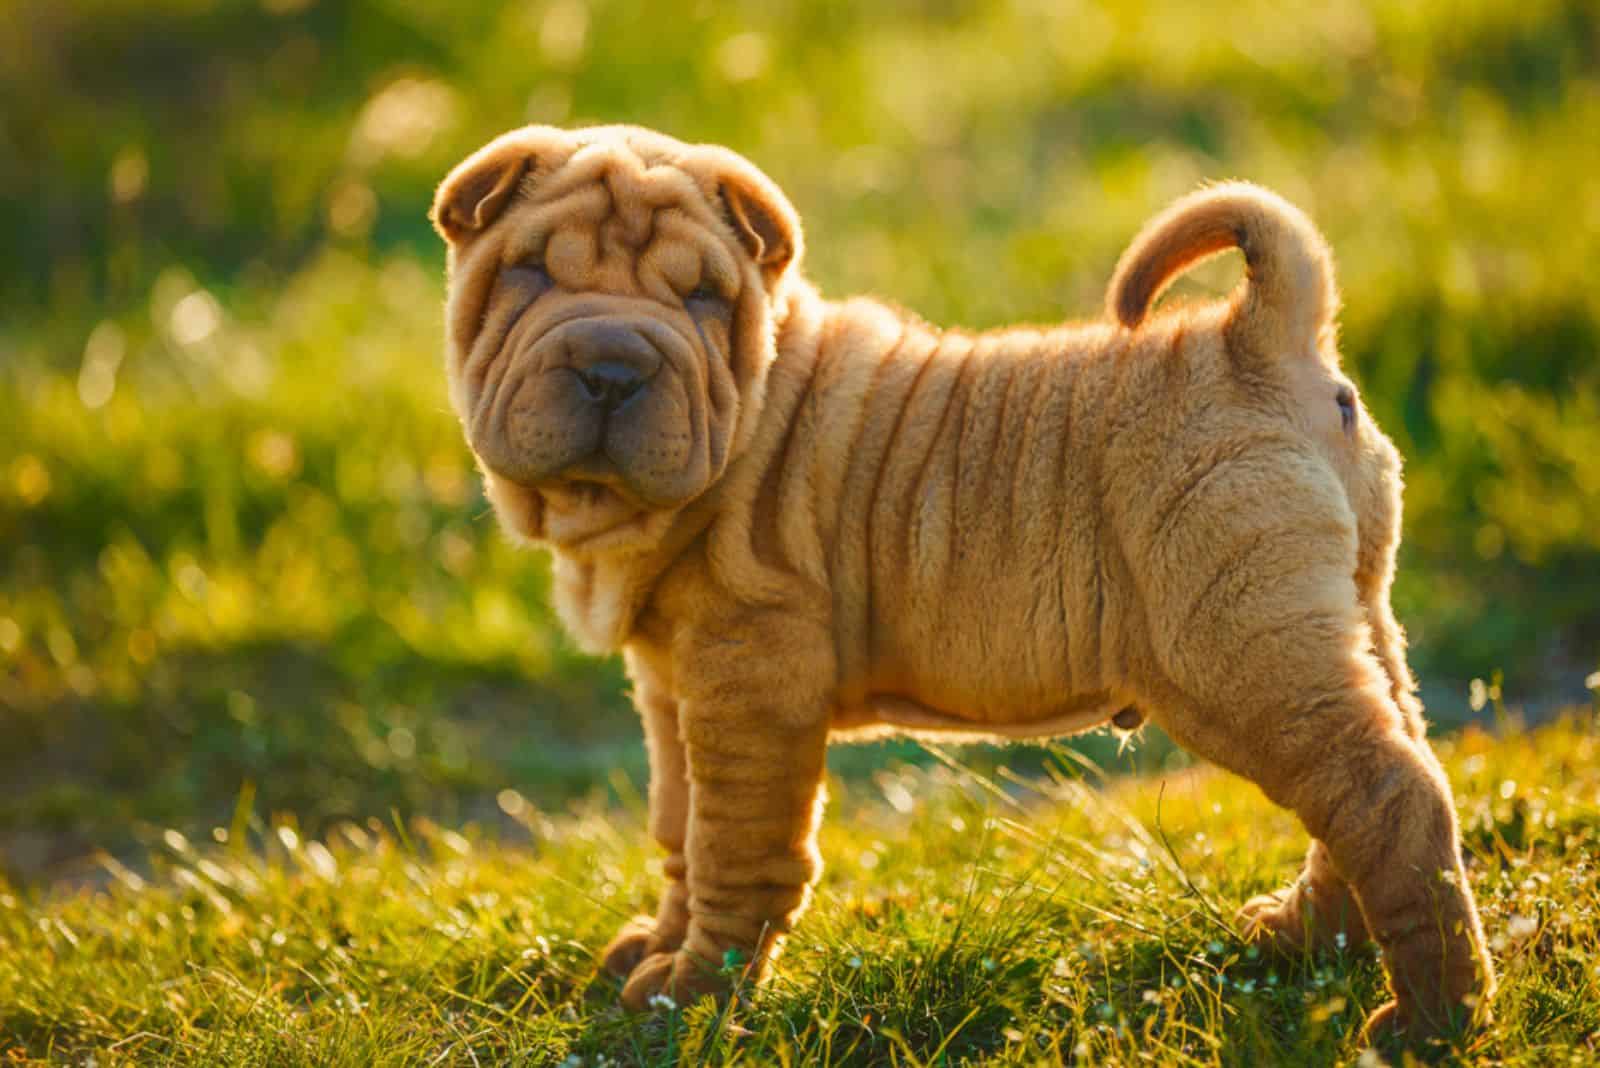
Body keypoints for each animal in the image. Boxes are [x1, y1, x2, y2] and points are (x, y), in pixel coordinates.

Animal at [428, 123, 1497, 1042]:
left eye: (700, 298)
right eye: (529, 271)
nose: (612, 365)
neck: (753, 400)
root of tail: (1256, 337)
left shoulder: (750, 683)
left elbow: (738, 848)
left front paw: (689, 999)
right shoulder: (670, 690)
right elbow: (679, 829)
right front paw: (655, 952)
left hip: (1238, 649)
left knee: (1384, 791)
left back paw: (1431, 1020)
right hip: (1344, 616)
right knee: (1392, 766)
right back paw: (1302, 941)